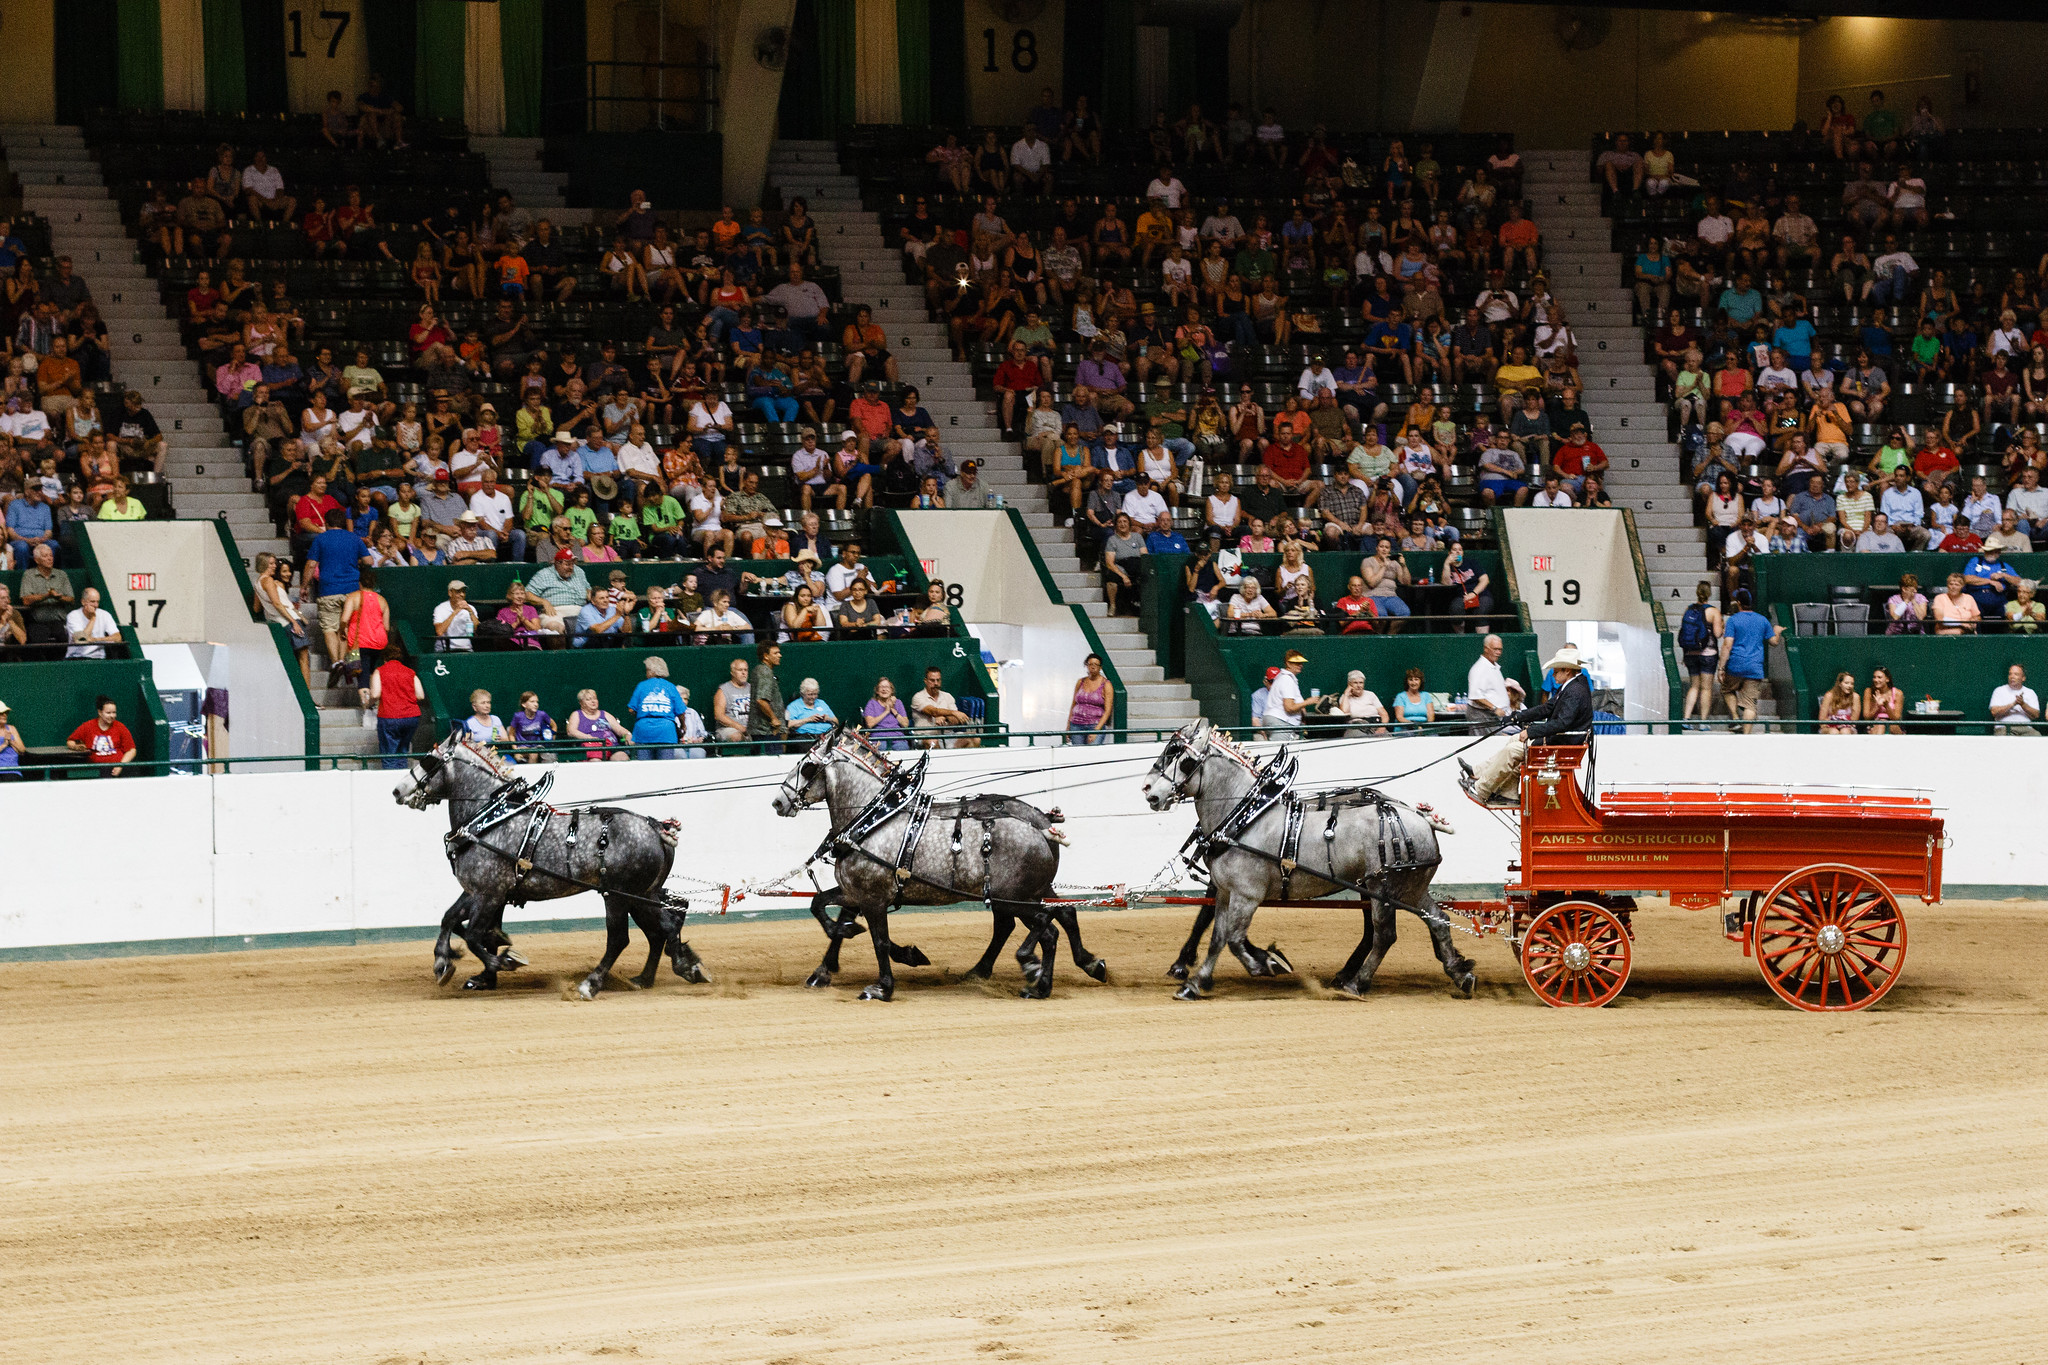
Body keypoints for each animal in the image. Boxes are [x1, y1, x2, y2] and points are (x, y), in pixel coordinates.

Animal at [393, 732, 712, 998]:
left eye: (428, 760)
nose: (397, 791)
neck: (490, 819)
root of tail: (656, 827)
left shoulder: (490, 892)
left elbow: (473, 935)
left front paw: (505, 961)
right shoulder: (477, 890)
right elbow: (450, 919)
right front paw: (444, 962)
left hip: (618, 896)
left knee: (620, 939)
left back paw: (591, 983)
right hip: (642, 894)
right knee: (662, 929)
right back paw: (658, 975)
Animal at [774, 724, 1114, 1002]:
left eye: (807, 767)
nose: (779, 801)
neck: (873, 820)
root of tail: (1042, 826)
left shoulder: (872, 897)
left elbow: (879, 940)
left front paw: (883, 986)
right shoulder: (855, 892)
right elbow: (820, 905)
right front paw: (837, 955)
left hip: (1015, 897)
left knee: (1045, 925)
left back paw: (1032, 970)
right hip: (1031, 891)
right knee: (1058, 917)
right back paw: (1062, 972)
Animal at [1138, 720, 1474, 998]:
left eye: (1181, 757)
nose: (1147, 790)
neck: (1245, 817)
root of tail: (1420, 817)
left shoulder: (1247, 894)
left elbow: (1234, 937)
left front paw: (1266, 963)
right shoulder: (1225, 891)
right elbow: (1218, 936)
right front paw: (1197, 982)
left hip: (1383, 888)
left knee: (1384, 935)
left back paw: (1356, 983)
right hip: (1410, 887)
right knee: (1438, 921)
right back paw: (1459, 973)